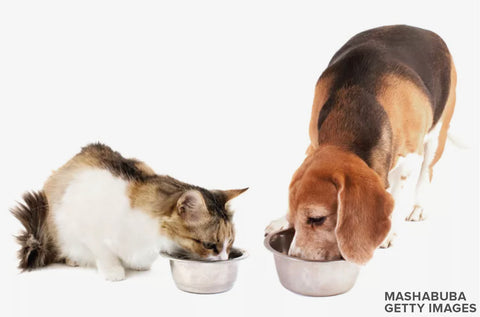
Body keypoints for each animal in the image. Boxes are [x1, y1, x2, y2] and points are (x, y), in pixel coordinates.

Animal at [11, 143, 248, 278]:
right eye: (210, 246)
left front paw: (138, 264)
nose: (225, 259)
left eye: (230, 244)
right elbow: (103, 251)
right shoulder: (80, 216)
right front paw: (114, 271)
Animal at [266, 24, 458, 262]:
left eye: (317, 219)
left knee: (427, 172)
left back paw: (418, 207)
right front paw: (282, 219)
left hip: (437, 135)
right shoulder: (313, 143)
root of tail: (426, 31)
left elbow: (398, 192)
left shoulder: (410, 158)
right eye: (293, 215)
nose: (295, 257)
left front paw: (389, 232)